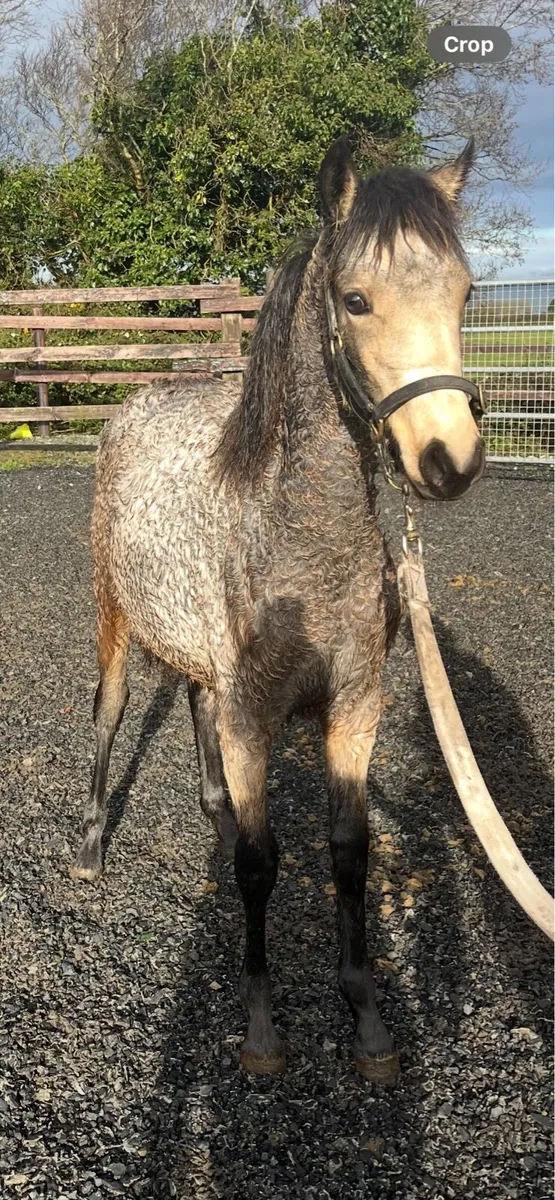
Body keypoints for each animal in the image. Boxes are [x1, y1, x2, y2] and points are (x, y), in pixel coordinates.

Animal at [70, 137, 485, 1083]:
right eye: (355, 299)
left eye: (463, 292)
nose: (447, 459)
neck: (295, 529)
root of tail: (136, 401)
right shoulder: (254, 716)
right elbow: (261, 867)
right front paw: (261, 1028)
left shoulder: (353, 709)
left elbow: (348, 854)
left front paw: (365, 1019)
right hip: (116, 618)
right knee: (111, 713)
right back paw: (92, 843)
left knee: (195, 701)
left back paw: (214, 810)